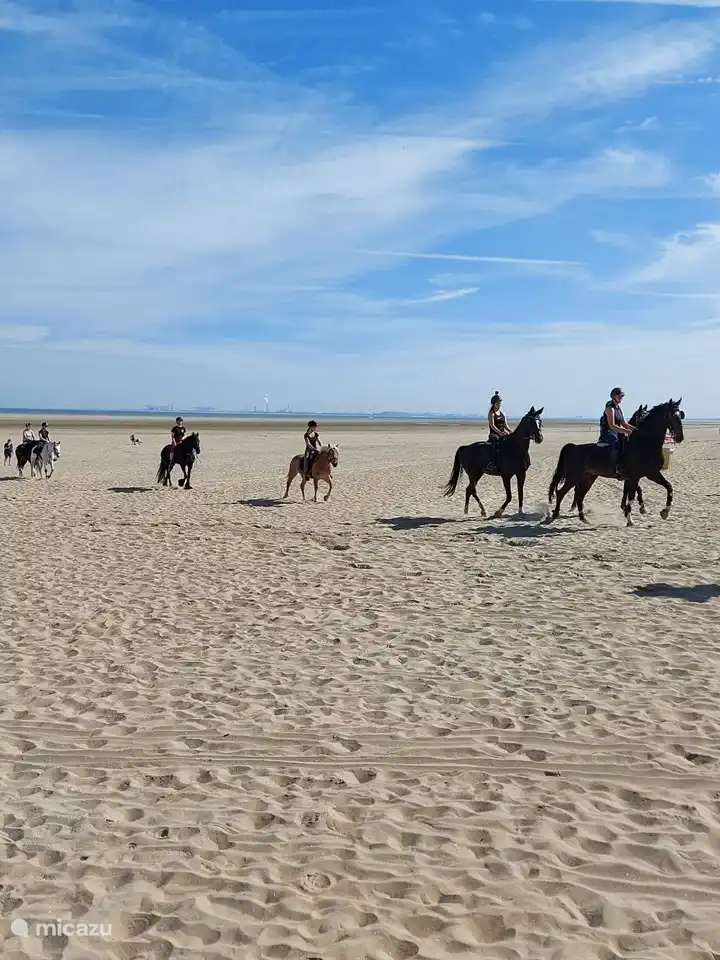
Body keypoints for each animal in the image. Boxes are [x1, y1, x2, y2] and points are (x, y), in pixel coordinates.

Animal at [547, 398, 684, 527]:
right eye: (671, 415)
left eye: (680, 415)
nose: (680, 437)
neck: (644, 444)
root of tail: (573, 447)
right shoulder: (634, 477)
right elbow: (631, 497)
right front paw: (630, 519)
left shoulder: (652, 474)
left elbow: (669, 487)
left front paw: (665, 512)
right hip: (573, 478)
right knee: (561, 493)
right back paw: (554, 515)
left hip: (588, 478)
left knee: (580, 495)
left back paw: (583, 518)